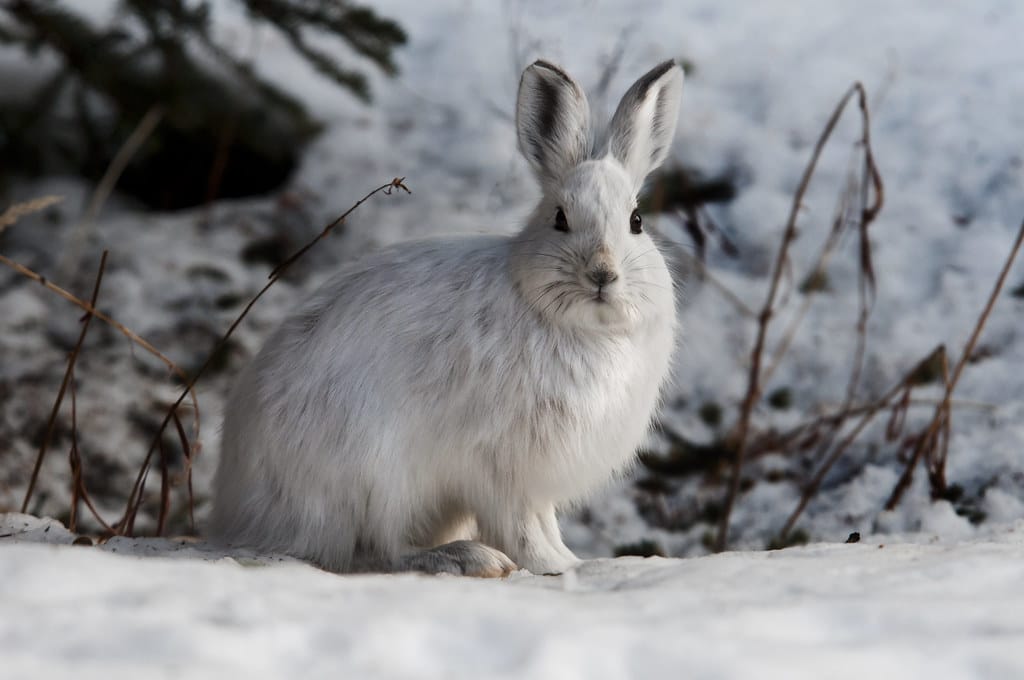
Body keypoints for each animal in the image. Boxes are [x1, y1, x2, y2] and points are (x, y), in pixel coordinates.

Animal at [210, 58, 684, 577]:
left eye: (636, 222)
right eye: (560, 219)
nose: (602, 274)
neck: (580, 328)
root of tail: (243, 514)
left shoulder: (532, 481)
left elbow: (544, 522)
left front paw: (571, 560)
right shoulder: (501, 465)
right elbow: (521, 525)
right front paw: (550, 566)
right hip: (375, 475)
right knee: (378, 551)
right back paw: (467, 558)